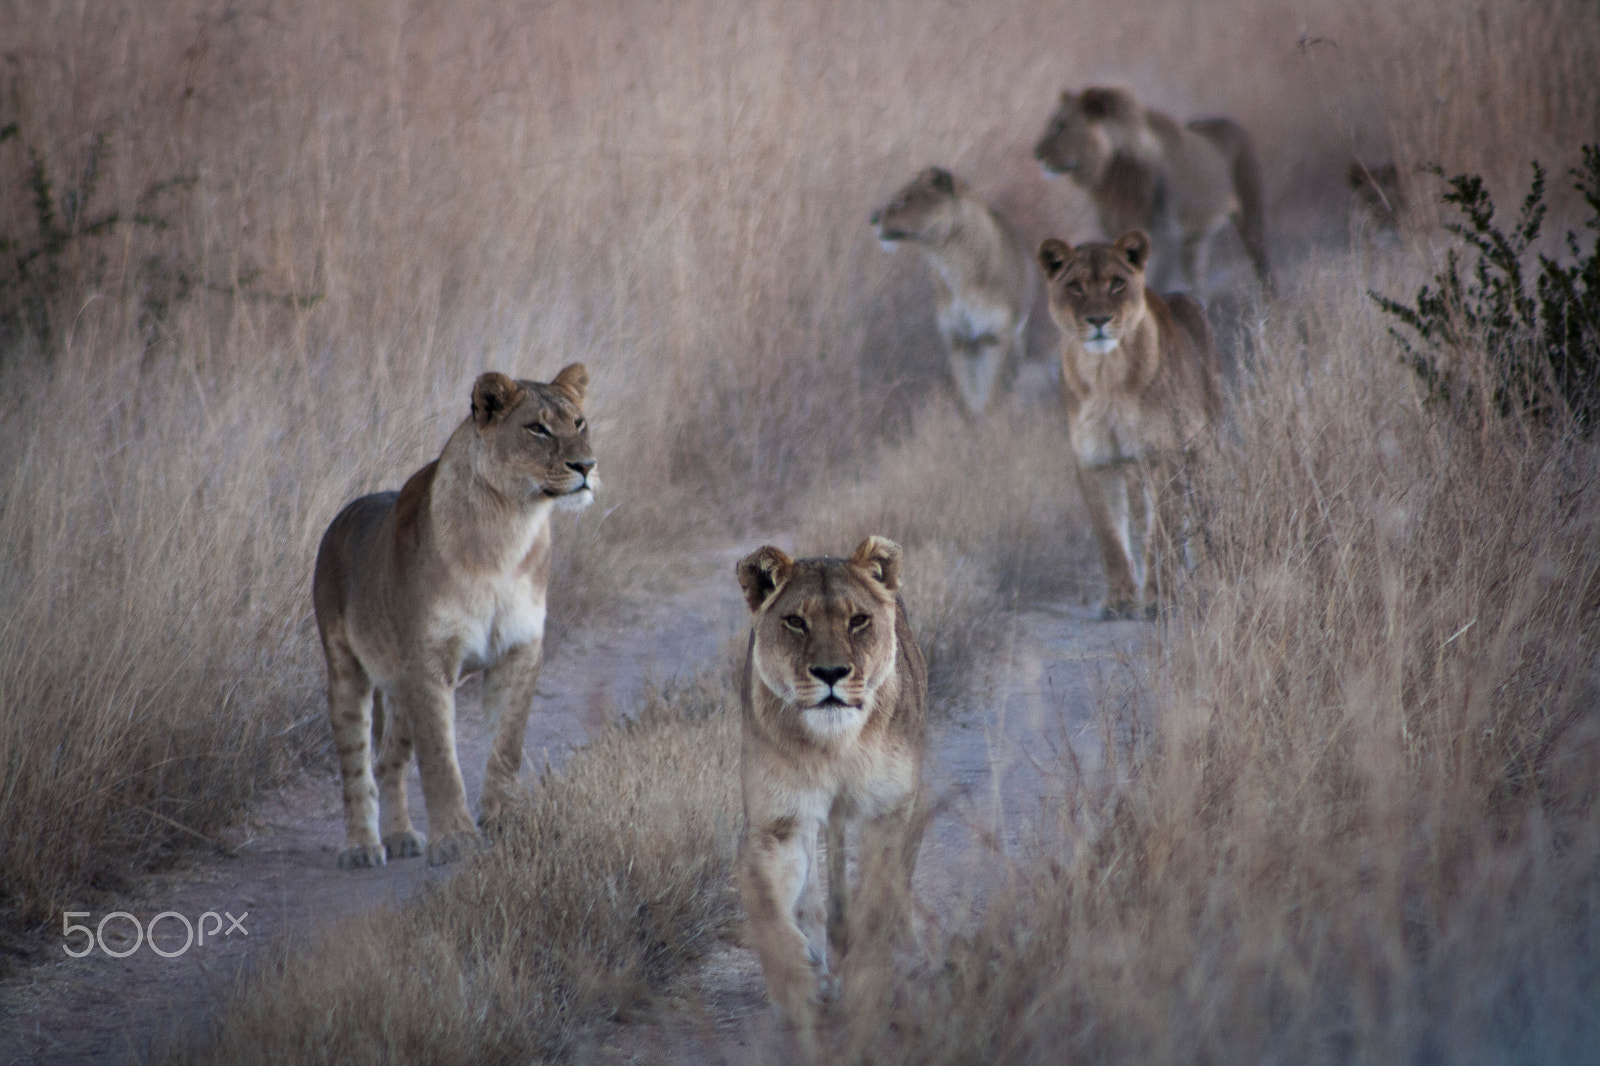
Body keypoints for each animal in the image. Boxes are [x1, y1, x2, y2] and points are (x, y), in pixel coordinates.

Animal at [312, 365, 596, 868]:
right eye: (537, 429)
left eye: (579, 423)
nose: (586, 466)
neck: (508, 530)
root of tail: (342, 516)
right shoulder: (428, 662)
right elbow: (441, 761)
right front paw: (455, 838)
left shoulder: (520, 651)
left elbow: (507, 745)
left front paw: (505, 818)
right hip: (346, 670)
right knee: (357, 766)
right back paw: (362, 846)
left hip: (398, 684)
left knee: (389, 761)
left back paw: (402, 837)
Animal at [734, 537, 929, 1048]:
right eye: (795, 622)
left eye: (857, 620)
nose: (830, 672)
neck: (835, 745)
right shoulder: (778, 825)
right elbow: (773, 918)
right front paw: (798, 988)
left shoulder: (888, 811)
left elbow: (878, 899)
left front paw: (868, 978)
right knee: (813, 900)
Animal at [871, 166, 1039, 417]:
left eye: (905, 199)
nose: (872, 218)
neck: (950, 263)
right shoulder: (957, 340)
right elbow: (968, 399)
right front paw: (971, 420)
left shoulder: (995, 337)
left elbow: (989, 396)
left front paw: (989, 421)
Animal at [1033, 86, 1272, 301]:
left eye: (1060, 127)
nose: (1035, 152)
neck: (1110, 175)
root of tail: (1230, 122)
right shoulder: (1115, 232)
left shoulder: (1167, 237)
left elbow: (1156, 284)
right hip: (1195, 242)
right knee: (1198, 287)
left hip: (1251, 217)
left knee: (1266, 274)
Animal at [1038, 231, 1220, 620]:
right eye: (1075, 287)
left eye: (1117, 283)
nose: (1098, 319)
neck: (1106, 375)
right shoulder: (1094, 462)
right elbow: (1110, 537)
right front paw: (1119, 602)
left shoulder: (1163, 455)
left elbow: (1161, 538)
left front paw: (1158, 601)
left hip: (1203, 450)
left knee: (1202, 520)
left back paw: (1208, 584)